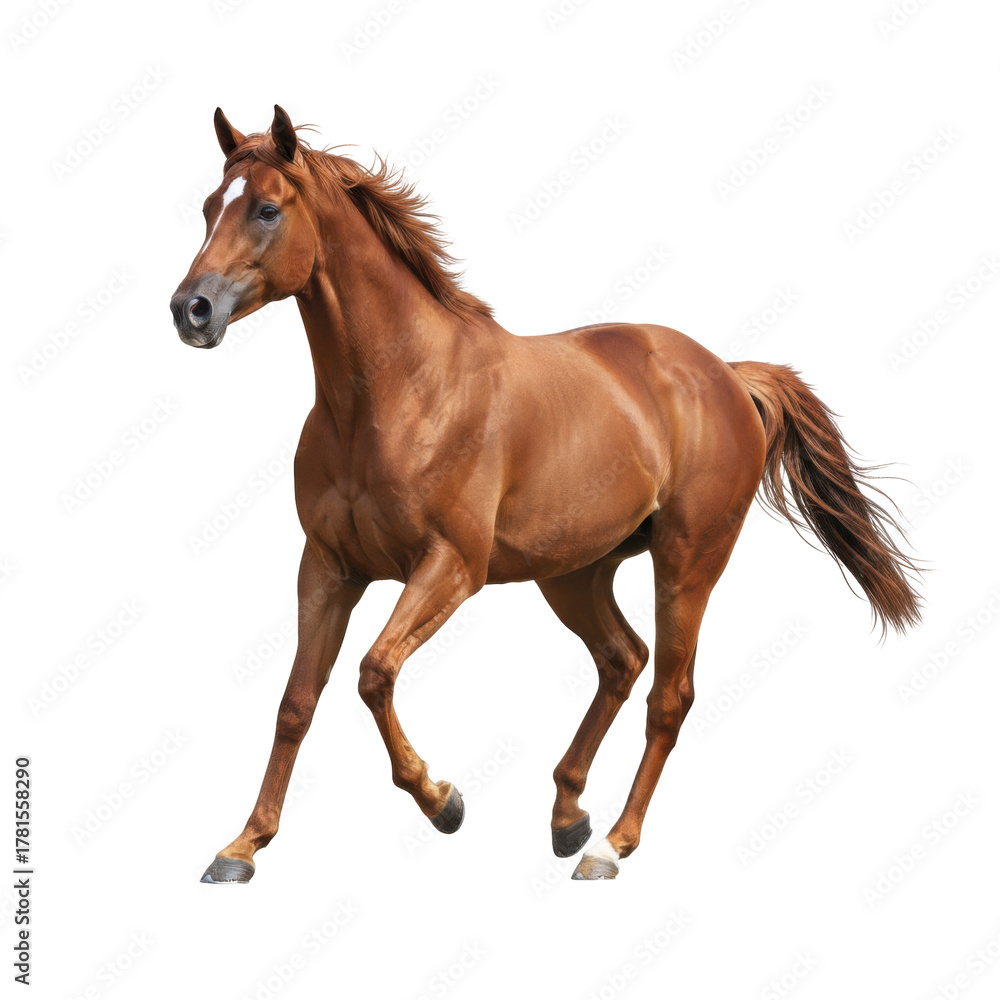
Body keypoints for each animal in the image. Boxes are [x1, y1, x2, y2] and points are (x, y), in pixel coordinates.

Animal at [170, 106, 921, 882]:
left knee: (668, 696)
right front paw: (240, 848)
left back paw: (611, 845)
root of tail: (726, 373)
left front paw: (442, 801)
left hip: (686, 564)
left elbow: (374, 673)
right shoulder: (327, 567)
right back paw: (568, 815)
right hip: (574, 573)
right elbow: (296, 701)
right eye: (208, 207)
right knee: (623, 660)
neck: (401, 392)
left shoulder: (451, 566)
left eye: (266, 209)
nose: (190, 310)